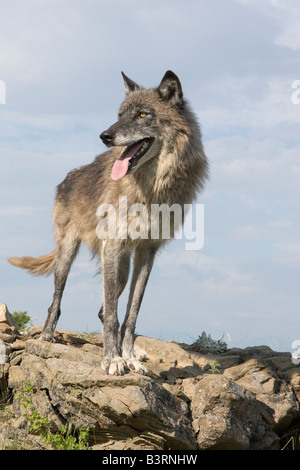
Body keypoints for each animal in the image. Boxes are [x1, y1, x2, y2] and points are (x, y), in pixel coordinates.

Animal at [7, 71, 209, 376]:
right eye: (119, 115)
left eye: (142, 114)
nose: (105, 136)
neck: (152, 188)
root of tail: (68, 177)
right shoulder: (113, 245)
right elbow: (114, 315)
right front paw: (112, 360)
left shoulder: (147, 251)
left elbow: (130, 314)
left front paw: (129, 357)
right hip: (70, 255)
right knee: (58, 302)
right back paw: (46, 336)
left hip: (120, 267)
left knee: (103, 309)